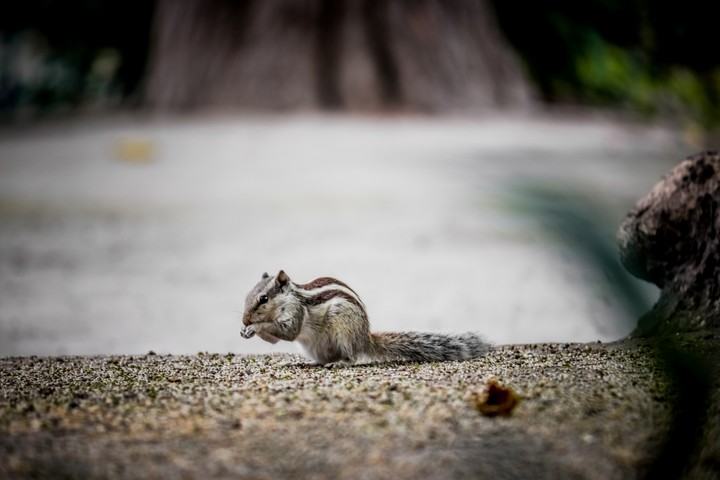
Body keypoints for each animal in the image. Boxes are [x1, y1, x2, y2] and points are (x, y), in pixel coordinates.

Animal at [240, 270, 490, 366]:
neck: (289, 297)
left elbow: (289, 331)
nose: (244, 321)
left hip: (344, 329)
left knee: (351, 357)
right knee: (321, 359)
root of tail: (364, 339)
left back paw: (339, 363)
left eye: (263, 298)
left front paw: (255, 327)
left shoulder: (295, 311)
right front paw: (246, 331)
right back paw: (307, 362)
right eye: (247, 295)